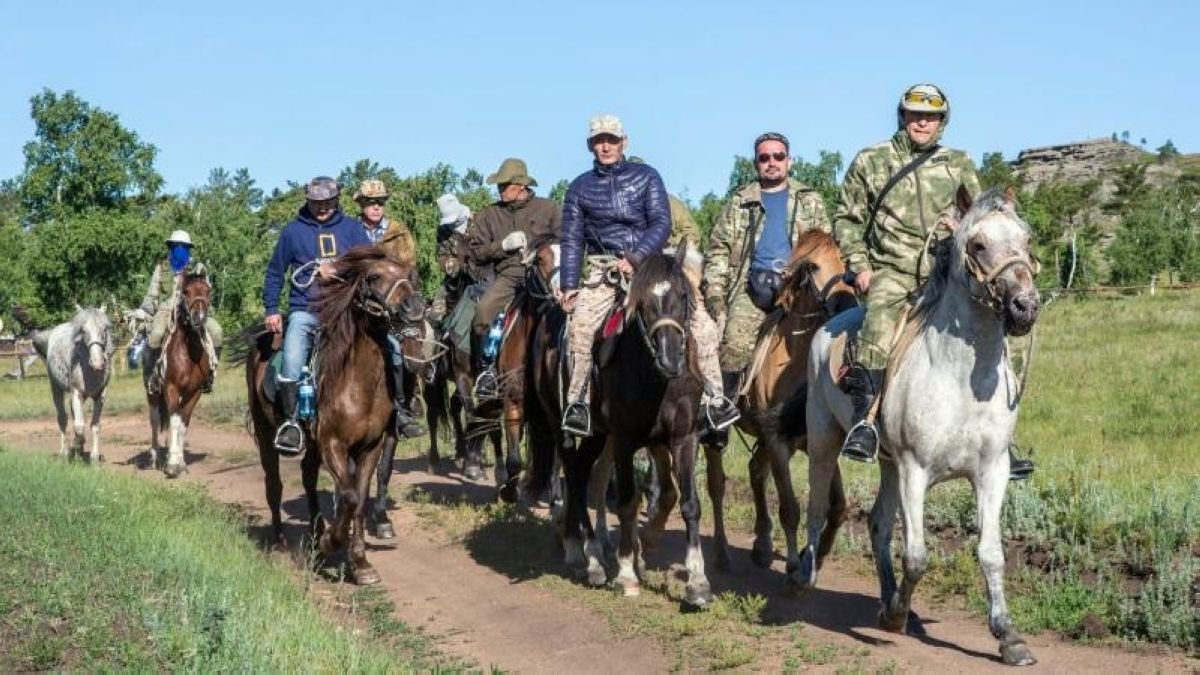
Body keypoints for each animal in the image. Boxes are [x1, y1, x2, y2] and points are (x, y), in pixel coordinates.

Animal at [30, 305, 113, 461]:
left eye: (105, 328)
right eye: (83, 331)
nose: (98, 362)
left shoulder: (100, 395)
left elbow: (95, 425)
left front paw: (94, 456)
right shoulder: (76, 393)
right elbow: (79, 426)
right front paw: (74, 445)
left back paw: (79, 453)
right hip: (56, 388)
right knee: (63, 418)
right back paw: (65, 451)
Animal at [144, 270, 214, 475]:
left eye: (208, 291)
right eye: (186, 291)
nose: (199, 317)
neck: (188, 353)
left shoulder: (195, 392)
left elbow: (183, 423)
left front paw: (180, 461)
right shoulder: (171, 388)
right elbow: (174, 421)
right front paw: (173, 465)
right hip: (153, 394)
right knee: (155, 421)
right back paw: (155, 457)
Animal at [705, 227, 859, 583]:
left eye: (843, 261)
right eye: (813, 266)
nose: (846, 302)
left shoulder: (817, 442)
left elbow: (837, 506)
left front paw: (813, 556)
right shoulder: (777, 441)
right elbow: (790, 507)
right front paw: (792, 565)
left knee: (755, 471)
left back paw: (762, 546)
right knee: (717, 485)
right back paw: (722, 552)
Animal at [806, 186, 1041, 662]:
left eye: (1026, 239)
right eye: (978, 245)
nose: (1025, 307)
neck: (964, 378)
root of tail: (830, 324)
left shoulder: (992, 472)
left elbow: (991, 553)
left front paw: (1008, 636)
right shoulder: (914, 469)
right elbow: (916, 556)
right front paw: (894, 617)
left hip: (887, 465)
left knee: (878, 525)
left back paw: (890, 598)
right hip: (824, 442)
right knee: (817, 506)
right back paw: (802, 574)